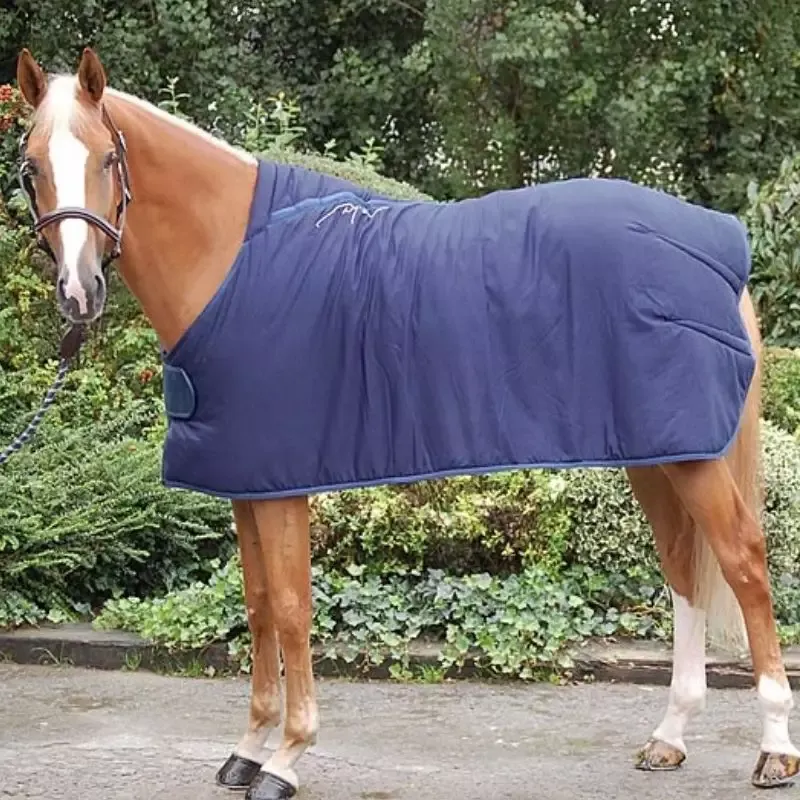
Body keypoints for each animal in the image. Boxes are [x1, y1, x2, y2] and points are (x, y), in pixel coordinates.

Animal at [12, 47, 799, 798]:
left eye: (107, 159)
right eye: (31, 168)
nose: (80, 291)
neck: (234, 255)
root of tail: (719, 250)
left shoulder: (283, 483)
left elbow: (292, 608)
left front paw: (287, 757)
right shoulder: (246, 479)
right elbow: (259, 605)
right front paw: (249, 748)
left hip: (692, 458)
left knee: (744, 564)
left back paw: (774, 751)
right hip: (658, 452)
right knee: (683, 570)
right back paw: (669, 737)